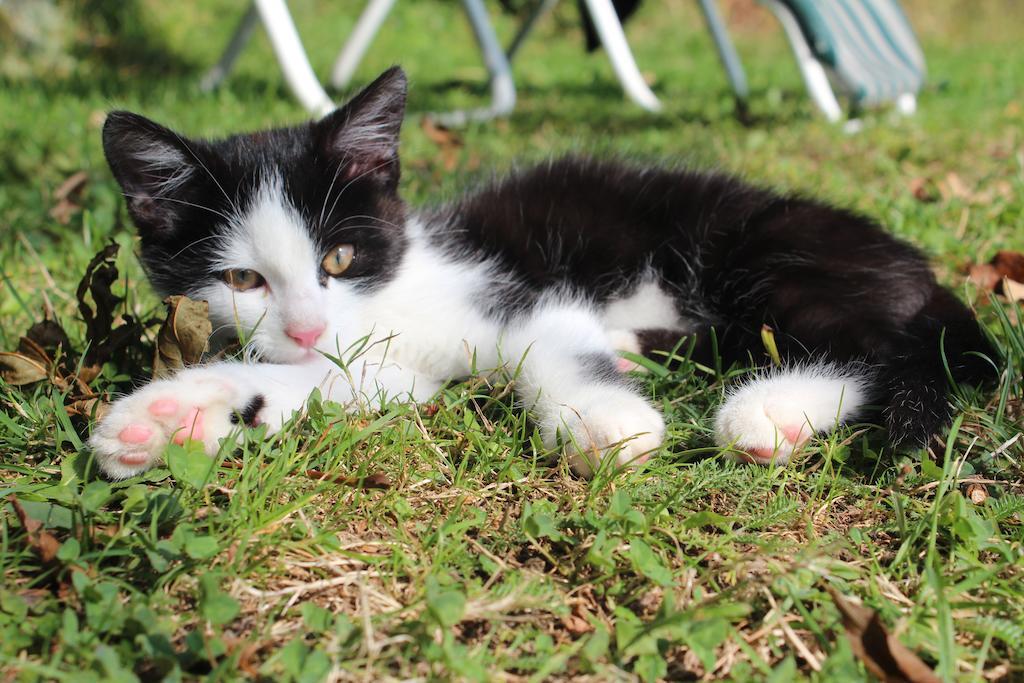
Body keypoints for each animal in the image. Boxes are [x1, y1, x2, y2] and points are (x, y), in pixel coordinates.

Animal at [90, 66, 991, 479]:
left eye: (337, 258)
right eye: (243, 281)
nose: (308, 326)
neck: (396, 285)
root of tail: (914, 265)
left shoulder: (523, 291)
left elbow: (551, 346)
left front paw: (605, 421)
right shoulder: (387, 365)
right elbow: (331, 380)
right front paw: (171, 416)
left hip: (770, 257)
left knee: (889, 354)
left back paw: (766, 411)